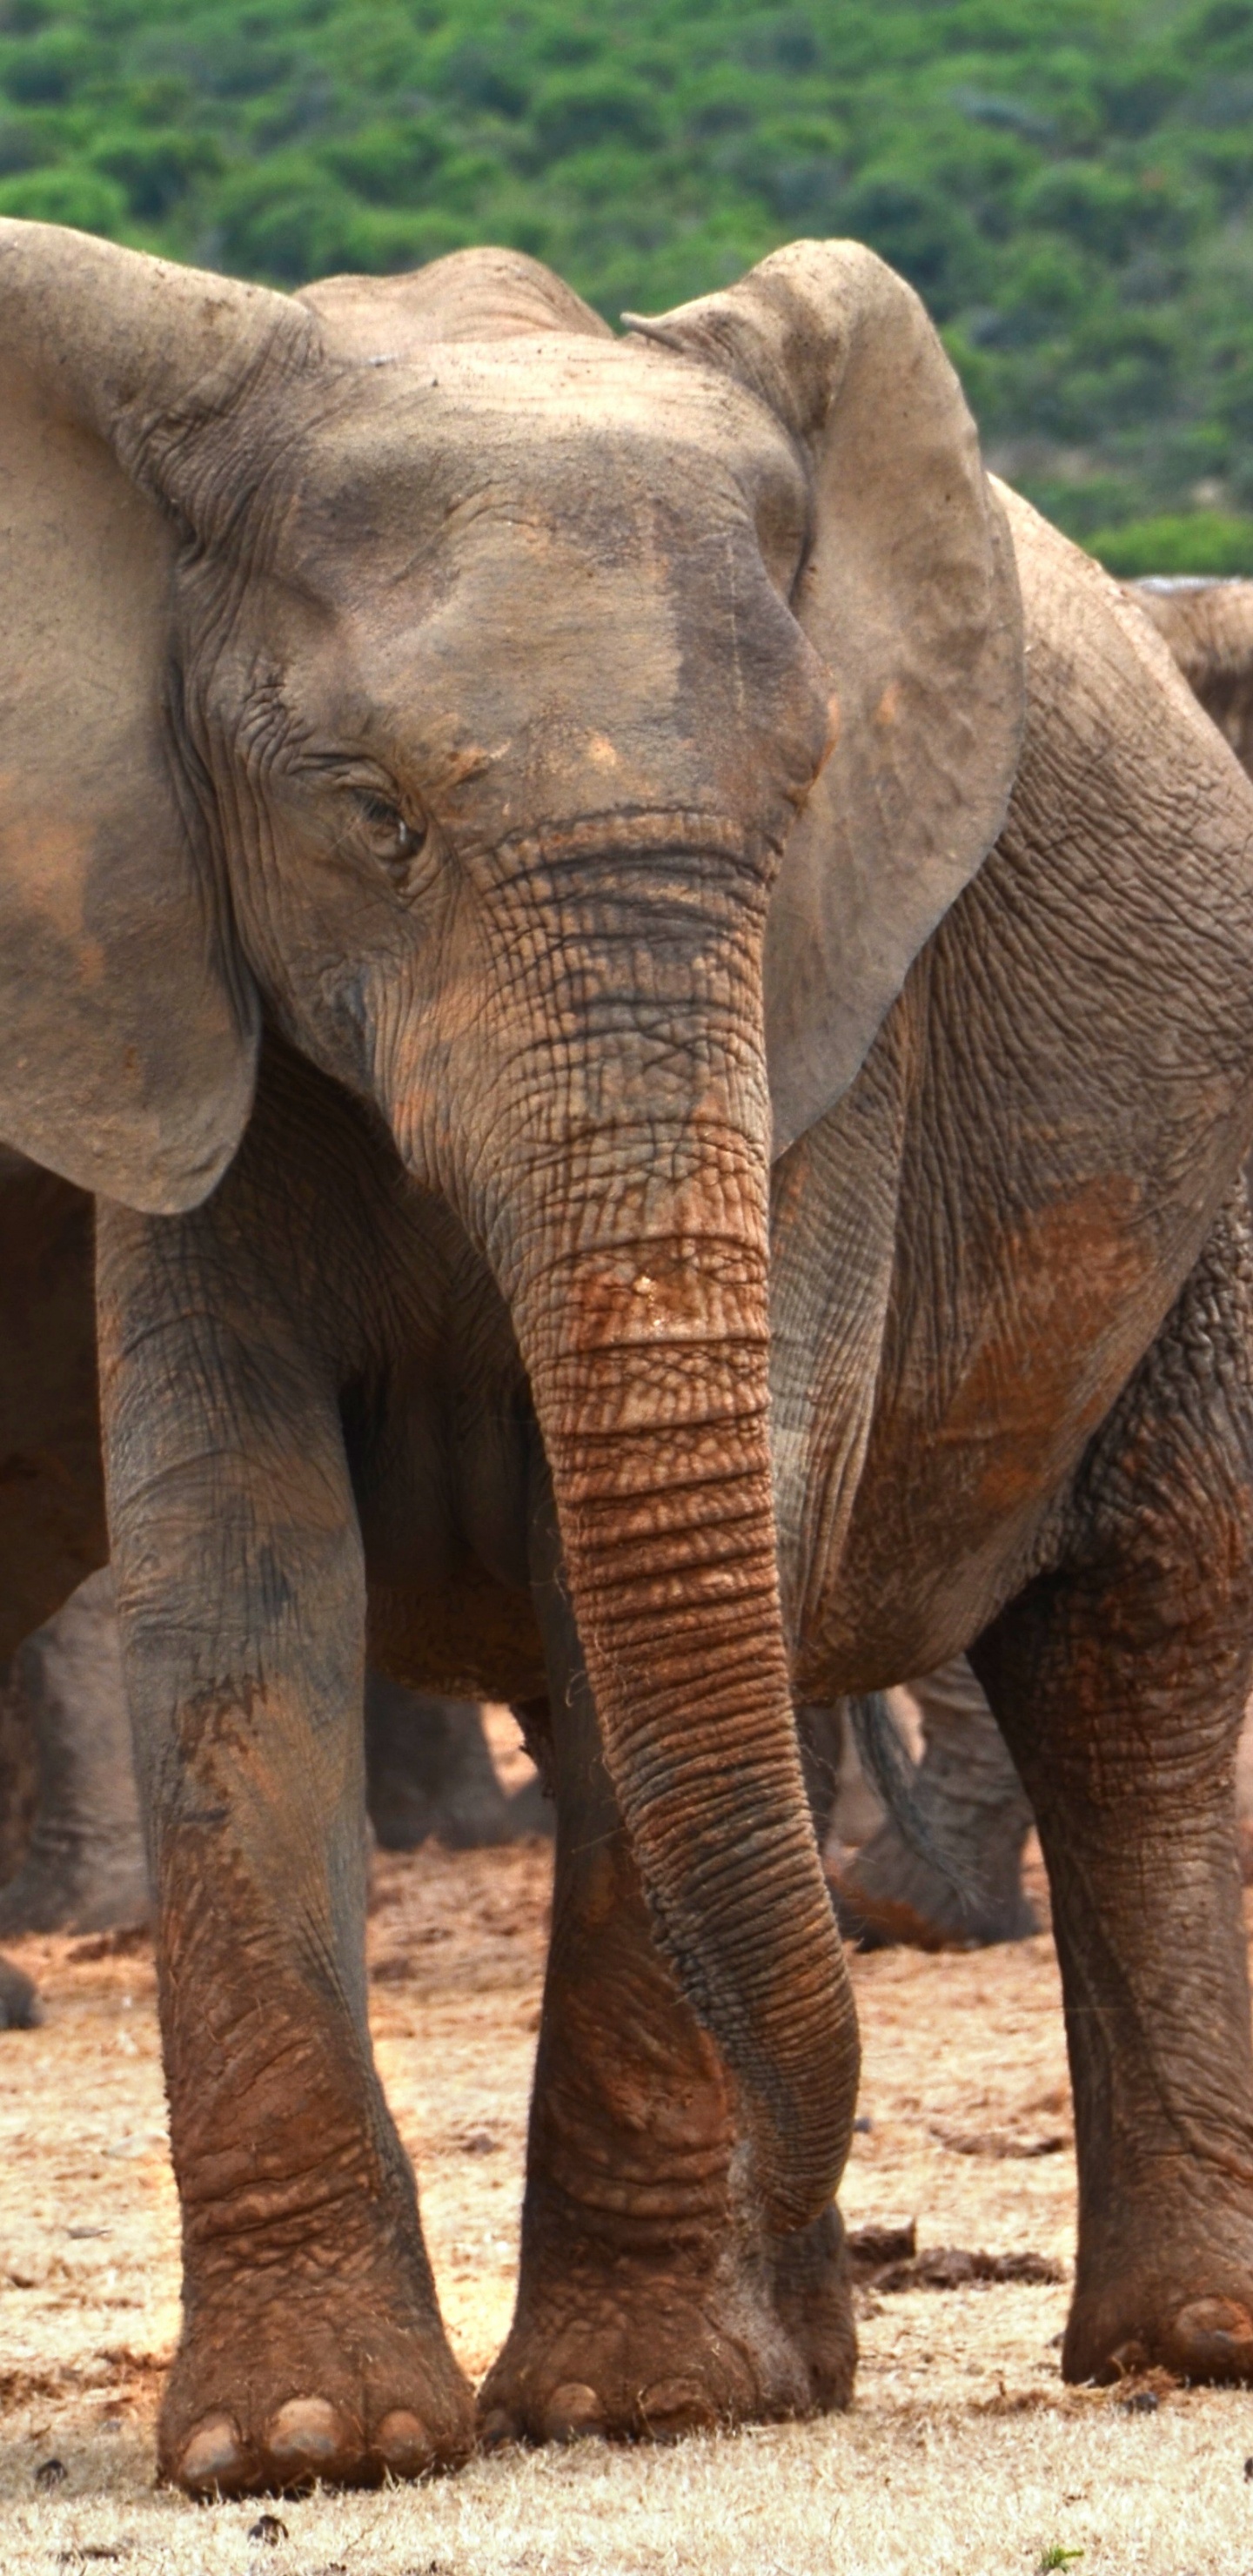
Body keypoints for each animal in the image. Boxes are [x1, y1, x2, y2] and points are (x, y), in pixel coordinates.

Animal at [2, 218, 1253, 2494]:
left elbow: (694, 1559)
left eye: (803, 797)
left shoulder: (844, 1003)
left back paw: (1154, 2339)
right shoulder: (159, 970)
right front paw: (307, 2441)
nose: (861, 2260)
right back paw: (817, 2353)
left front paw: (634, 2402)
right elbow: (238, 1570)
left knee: (1129, 1654)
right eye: (372, 813)